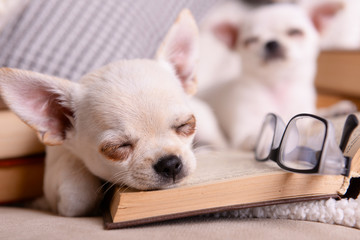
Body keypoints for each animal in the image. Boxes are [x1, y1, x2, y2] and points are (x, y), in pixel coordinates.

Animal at [202, 2, 352, 150]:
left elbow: (314, 116)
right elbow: (255, 134)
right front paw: (266, 138)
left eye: (295, 32)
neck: (277, 85)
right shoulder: (241, 133)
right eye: (250, 40)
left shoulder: (304, 116)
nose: (271, 42)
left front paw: (335, 110)